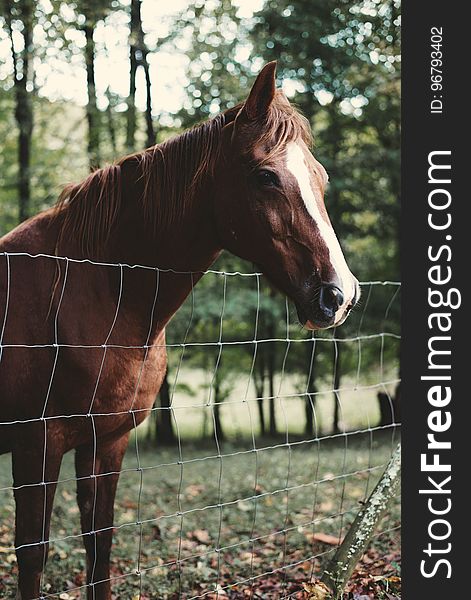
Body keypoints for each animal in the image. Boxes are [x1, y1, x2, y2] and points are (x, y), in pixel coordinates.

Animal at [0, 63, 362, 596]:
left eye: (321, 177)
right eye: (266, 176)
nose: (340, 294)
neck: (91, 292)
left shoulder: (105, 444)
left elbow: (99, 547)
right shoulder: (35, 449)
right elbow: (33, 557)